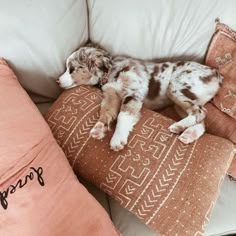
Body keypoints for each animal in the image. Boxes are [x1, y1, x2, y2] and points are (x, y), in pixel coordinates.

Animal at [57, 44, 223, 151]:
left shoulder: (133, 93)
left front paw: (117, 139)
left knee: (200, 112)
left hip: (175, 87)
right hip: (180, 103)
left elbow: (123, 115)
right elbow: (106, 112)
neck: (110, 72)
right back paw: (188, 134)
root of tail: (216, 73)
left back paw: (178, 126)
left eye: (72, 69)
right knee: (202, 119)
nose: (57, 81)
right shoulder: (111, 95)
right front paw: (98, 128)